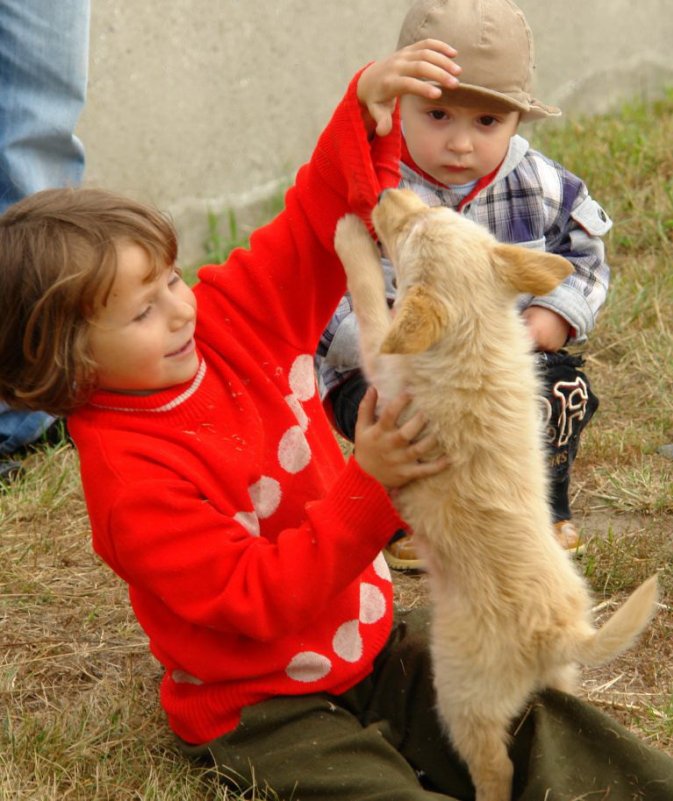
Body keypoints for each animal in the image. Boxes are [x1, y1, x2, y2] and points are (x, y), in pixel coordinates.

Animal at [334, 191, 660, 800]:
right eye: (427, 210)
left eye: (407, 233)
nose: (389, 195)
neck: (476, 335)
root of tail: (560, 633)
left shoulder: (385, 370)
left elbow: (370, 307)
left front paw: (349, 238)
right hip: (556, 676)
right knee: (562, 706)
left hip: (463, 694)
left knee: (496, 766)